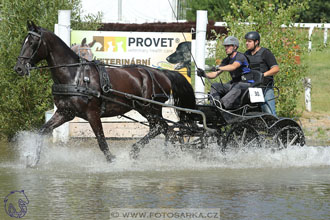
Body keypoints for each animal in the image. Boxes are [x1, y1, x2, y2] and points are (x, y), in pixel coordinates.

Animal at [14, 21, 196, 165]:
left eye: (33, 42)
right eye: (24, 41)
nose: (19, 68)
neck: (74, 76)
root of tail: (162, 73)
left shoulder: (92, 113)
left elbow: (102, 142)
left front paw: (112, 160)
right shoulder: (65, 113)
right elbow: (42, 131)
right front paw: (33, 160)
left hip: (150, 109)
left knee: (161, 128)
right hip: (146, 110)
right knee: (165, 131)